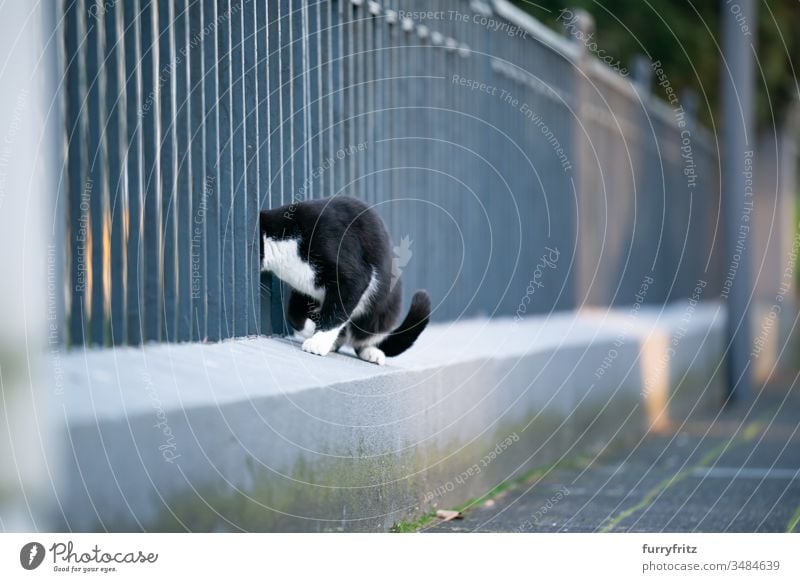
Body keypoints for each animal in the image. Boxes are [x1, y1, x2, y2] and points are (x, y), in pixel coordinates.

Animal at [260, 198, 432, 368]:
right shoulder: (303, 289)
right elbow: (293, 314)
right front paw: (312, 329)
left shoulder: (349, 271)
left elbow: (336, 311)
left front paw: (318, 340)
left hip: (383, 308)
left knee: (366, 334)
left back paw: (370, 351)